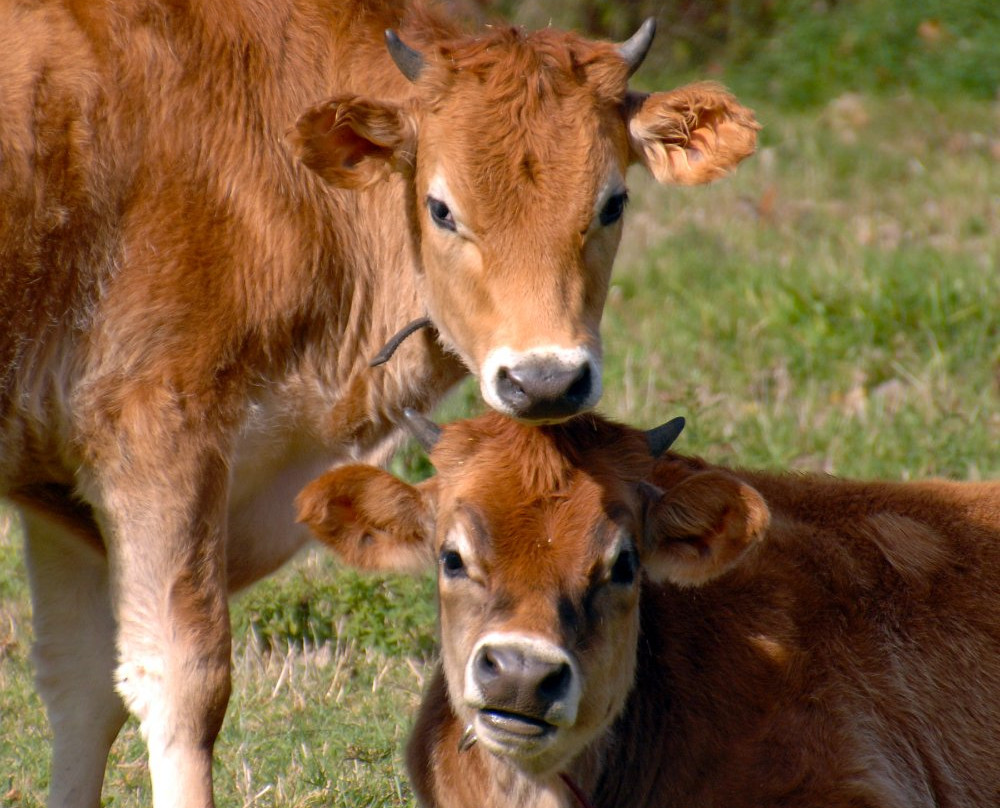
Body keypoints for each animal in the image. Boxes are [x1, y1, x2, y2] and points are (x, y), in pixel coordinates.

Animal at [0, 0, 756, 800]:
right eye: (441, 208)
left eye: (613, 203)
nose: (546, 379)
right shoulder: (159, 432)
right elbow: (185, 683)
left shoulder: (66, 493)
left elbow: (84, 692)